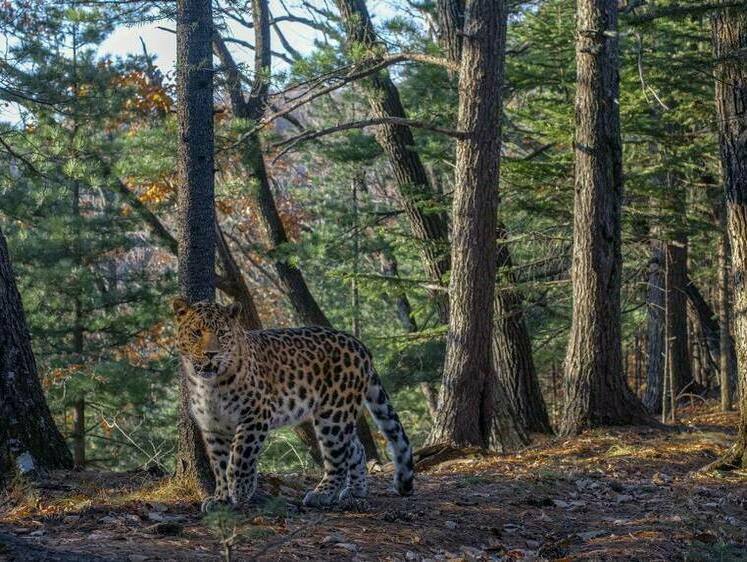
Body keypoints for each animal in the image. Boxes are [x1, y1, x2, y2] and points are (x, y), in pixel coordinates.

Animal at [171, 296, 414, 510]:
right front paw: (221, 498)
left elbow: (241, 454)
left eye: (222, 333)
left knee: (337, 455)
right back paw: (356, 490)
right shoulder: (213, 426)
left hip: (334, 414)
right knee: (355, 447)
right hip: (339, 412)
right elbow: (220, 464)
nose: (211, 354)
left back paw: (323, 493)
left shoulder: (257, 414)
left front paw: (240, 489)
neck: (208, 385)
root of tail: (359, 344)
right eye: (196, 333)